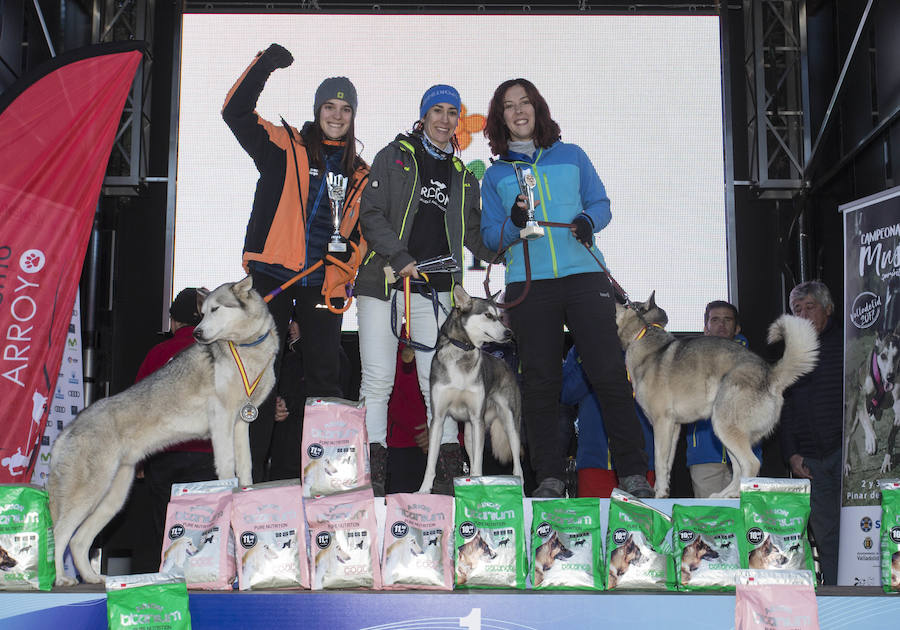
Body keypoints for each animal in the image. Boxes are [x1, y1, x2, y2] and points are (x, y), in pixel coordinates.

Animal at [46, 278, 274, 588]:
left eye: (216, 309)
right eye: (203, 313)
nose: (198, 333)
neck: (245, 347)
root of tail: (68, 427)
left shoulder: (241, 422)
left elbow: (247, 467)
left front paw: (246, 493)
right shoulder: (221, 420)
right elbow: (228, 468)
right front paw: (227, 493)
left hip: (113, 499)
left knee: (79, 541)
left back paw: (93, 577)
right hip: (90, 493)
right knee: (60, 534)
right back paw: (61, 578)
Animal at [418, 286, 524, 494]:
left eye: (500, 316)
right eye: (488, 315)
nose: (509, 333)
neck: (463, 352)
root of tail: (504, 363)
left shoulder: (477, 419)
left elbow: (478, 464)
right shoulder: (438, 419)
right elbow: (430, 463)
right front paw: (424, 490)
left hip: (510, 423)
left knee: (518, 466)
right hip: (468, 434)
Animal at [616, 296, 820, 498]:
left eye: (628, 304)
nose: (618, 300)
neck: (643, 334)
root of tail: (770, 373)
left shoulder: (661, 423)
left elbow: (659, 464)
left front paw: (658, 494)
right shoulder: (673, 428)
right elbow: (666, 466)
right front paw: (664, 492)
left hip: (723, 426)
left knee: (750, 464)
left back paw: (735, 495)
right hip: (727, 435)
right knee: (738, 469)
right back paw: (724, 495)